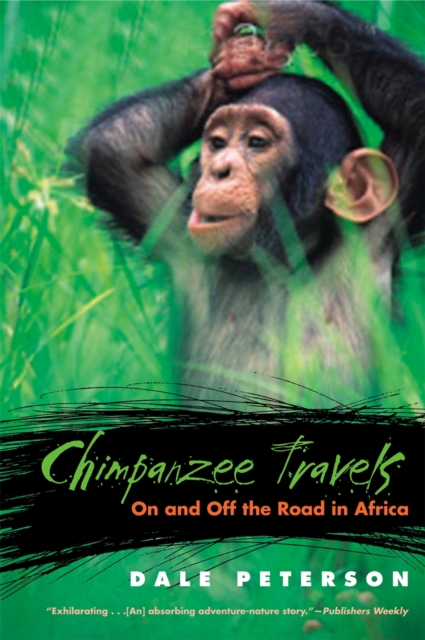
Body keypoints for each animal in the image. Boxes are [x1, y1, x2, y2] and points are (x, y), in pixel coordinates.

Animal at [68, 1, 425, 405]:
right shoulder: (172, 226)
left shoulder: (380, 229)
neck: (281, 262)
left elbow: (419, 118)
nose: (219, 169)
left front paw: (288, 15)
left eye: (256, 142)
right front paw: (235, 64)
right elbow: (111, 150)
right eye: (218, 143)